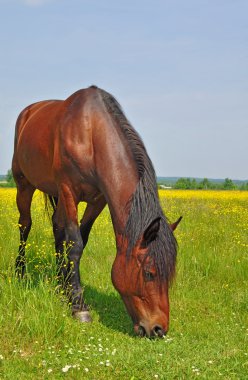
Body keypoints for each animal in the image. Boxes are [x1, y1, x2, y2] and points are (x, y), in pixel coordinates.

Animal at [11, 87, 181, 338]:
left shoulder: (98, 200)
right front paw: (78, 306)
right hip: (24, 184)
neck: (90, 134)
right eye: (149, 273)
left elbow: (80, 238)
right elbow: (75, 244)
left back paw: (59, 281)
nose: (159, 328)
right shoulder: (68, 190)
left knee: (57, 227)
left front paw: (67, 288)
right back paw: (20, 272)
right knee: (25, 224)